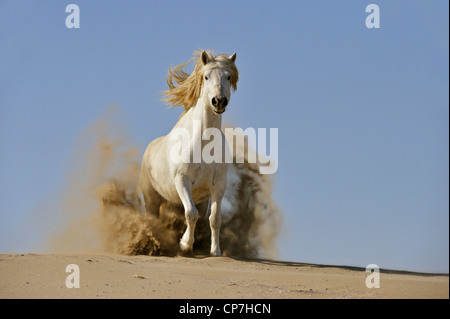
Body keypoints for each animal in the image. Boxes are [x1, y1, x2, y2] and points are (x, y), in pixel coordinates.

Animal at [139, 50, 239, 258]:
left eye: (228, 76)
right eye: (206, 76)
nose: (219, 101)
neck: (204, 143)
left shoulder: (218, 186)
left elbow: (214, 219)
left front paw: (215, 251)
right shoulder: (182, 181)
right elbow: (190, 214)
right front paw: (185, 245)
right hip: (151, 199)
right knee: (153, 218)